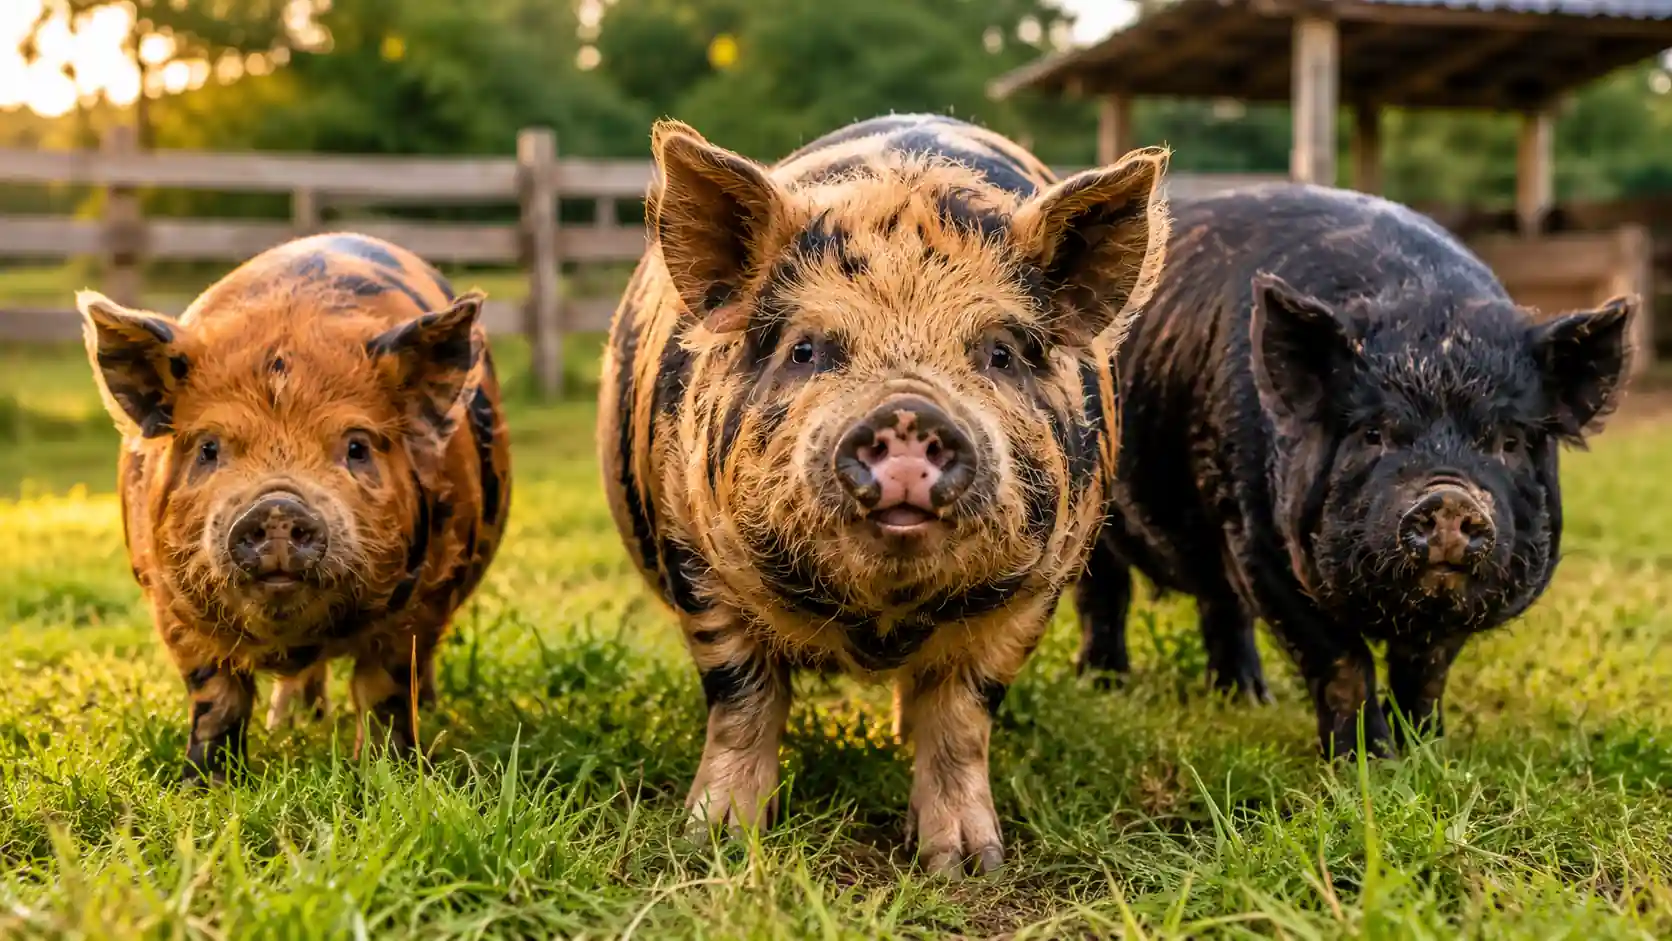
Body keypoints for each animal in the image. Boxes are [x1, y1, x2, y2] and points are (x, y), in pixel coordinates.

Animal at [78, 232, 512, 786]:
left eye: (356, 447)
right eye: (209, 448)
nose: (278, 507)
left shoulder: (421, 606)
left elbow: (384, 693)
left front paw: (386, 777)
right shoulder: (170, 606)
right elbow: (215, 697)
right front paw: (204, 784)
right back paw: (295, 720)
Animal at [598, 113, 1170, 876]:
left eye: (1000, 353)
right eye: (806, 350)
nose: (907, 415)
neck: (880, 624)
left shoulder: (1033, 593)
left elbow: (962, 719)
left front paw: (968, 864)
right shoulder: (693, 556)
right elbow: (742, 701)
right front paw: (713, 844)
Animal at [1075, 182, 1633, 760]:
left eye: (1510, 441)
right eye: (1373, 433)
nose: (1448, 499)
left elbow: (1425, 671)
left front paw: (1427, 751)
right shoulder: (1253, 537)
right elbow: (1341, 660)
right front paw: (1365, 762)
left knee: (1219, 604)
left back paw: (1249, 700)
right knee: (1105, 594)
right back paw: (1104, 685)